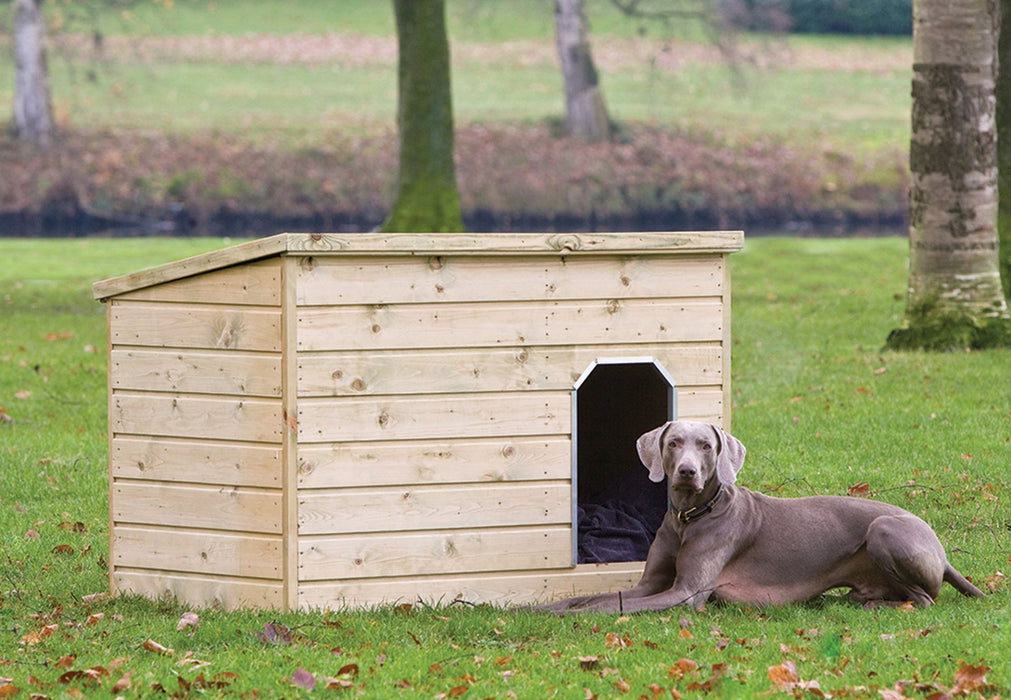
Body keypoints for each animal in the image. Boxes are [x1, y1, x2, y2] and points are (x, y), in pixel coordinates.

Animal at [541, 420, 982, 610]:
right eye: (674, 442)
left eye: (705, 445)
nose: (687, 471)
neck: (690, 516)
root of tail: (942, 552)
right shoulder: (650, 583)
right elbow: (594, 597)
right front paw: (534, 611)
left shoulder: (687, 593)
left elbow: (606, 608)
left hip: (884, 529)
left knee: (923, 599)